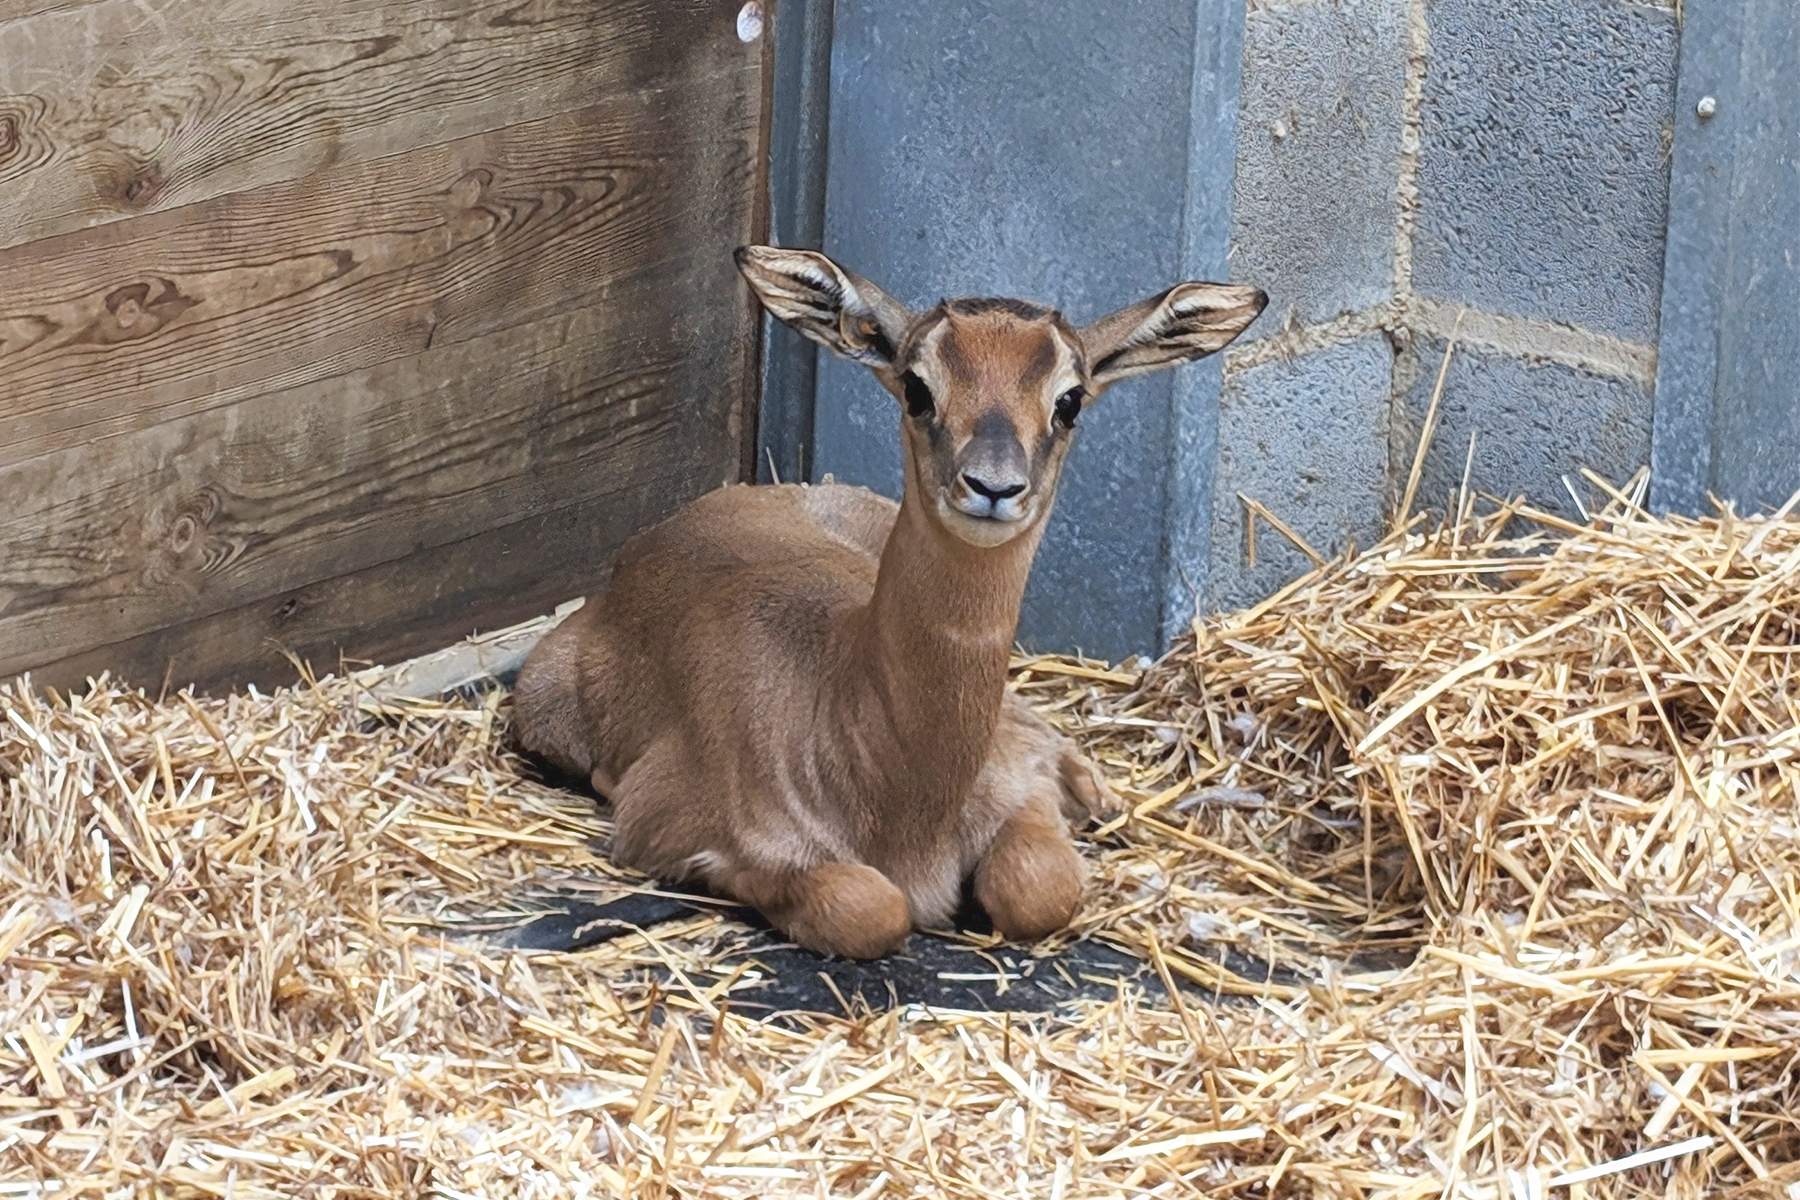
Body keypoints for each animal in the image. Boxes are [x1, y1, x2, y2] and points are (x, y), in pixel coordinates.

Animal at [511, 248, 1267, 964]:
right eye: (916, 386)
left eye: (1071, 399)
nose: (994, 487)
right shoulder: (676, 826)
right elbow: (870, 906)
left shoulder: (1016, 795)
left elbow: (1038, 888)